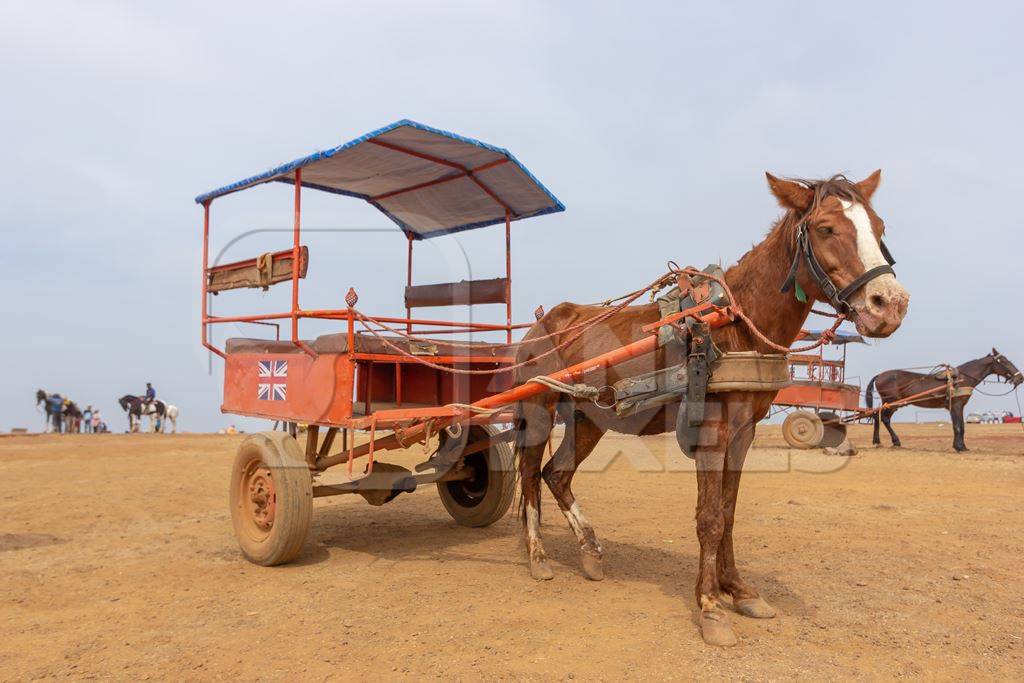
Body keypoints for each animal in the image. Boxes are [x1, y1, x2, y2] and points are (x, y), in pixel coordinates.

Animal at [516, 171, 909, 647]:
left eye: (880, 227)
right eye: (826, 228)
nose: (890, 304)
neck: (734, 323)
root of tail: (540, 324)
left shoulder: (743, 434)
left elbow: (729, 511)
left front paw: (738, 590)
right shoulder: (711, 432)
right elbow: (709, 518)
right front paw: (710, 606)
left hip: (589, 417)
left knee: (557, 474)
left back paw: (590, 551)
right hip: (538, 409)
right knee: (530, 474)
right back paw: (538, 556)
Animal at [864, 350, 1024, 450]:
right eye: (1004, 361)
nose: (1020, 378)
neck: (961, 379)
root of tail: (880, 375)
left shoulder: (960, 406)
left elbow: (961, 426)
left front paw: (962, 446)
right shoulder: (956, 406)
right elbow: (957, 426)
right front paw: (959, 447)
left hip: (890, 403)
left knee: (877, 416)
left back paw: (877, 441)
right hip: (892, 402)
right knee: (884, 418)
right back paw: (895, 441)